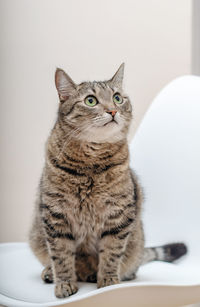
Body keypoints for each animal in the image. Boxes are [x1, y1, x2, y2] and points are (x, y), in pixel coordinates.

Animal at [28, 64, 187, 298]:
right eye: (90, 100)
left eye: (117, 98)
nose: (112, 110)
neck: (91, 162)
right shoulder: (55, 216)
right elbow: (61, 256)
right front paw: (64, 283)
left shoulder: (118, 216)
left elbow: (111, 253)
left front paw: (109, 282)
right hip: (36, 235)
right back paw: (51, 272)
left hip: (135, 245)